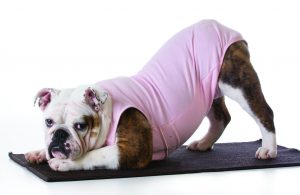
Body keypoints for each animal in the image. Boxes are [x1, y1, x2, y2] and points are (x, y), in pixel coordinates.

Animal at [25, 19, 276, 171]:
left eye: (80, 126)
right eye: (48, 122)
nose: (59, 135)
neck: (108, 110)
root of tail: (220, 26)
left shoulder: (132, 150)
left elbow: (96, 154)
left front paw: (67, 164)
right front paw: (39, 153)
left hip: (236, 80)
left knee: (264, 111)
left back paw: (268, 149)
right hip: (209, 89)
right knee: (221, 118)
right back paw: (204, 143)